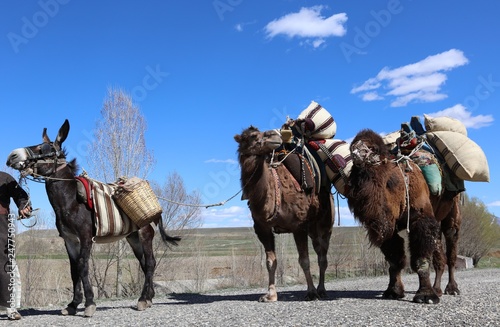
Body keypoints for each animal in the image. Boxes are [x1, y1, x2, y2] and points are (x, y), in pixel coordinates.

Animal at [235, 126, 336, 302]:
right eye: (253, 136)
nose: (274, 136)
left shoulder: (298, 226)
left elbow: (304, 260)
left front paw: (311, 292)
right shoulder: (262, 228)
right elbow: (270, 262)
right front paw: (270, 295)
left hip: (325, 224)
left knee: (322, 256)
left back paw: (321, 290)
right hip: (312, 229)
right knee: (319, 250)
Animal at [346, 129, 444, 304]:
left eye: (373, 149)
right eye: (352, 147)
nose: (357, 152)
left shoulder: (421, 219)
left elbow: (420, 258)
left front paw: (426, 296)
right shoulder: (386, 228)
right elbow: (395, 260)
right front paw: (393, 292)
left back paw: (448, 290)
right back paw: (438, 290)